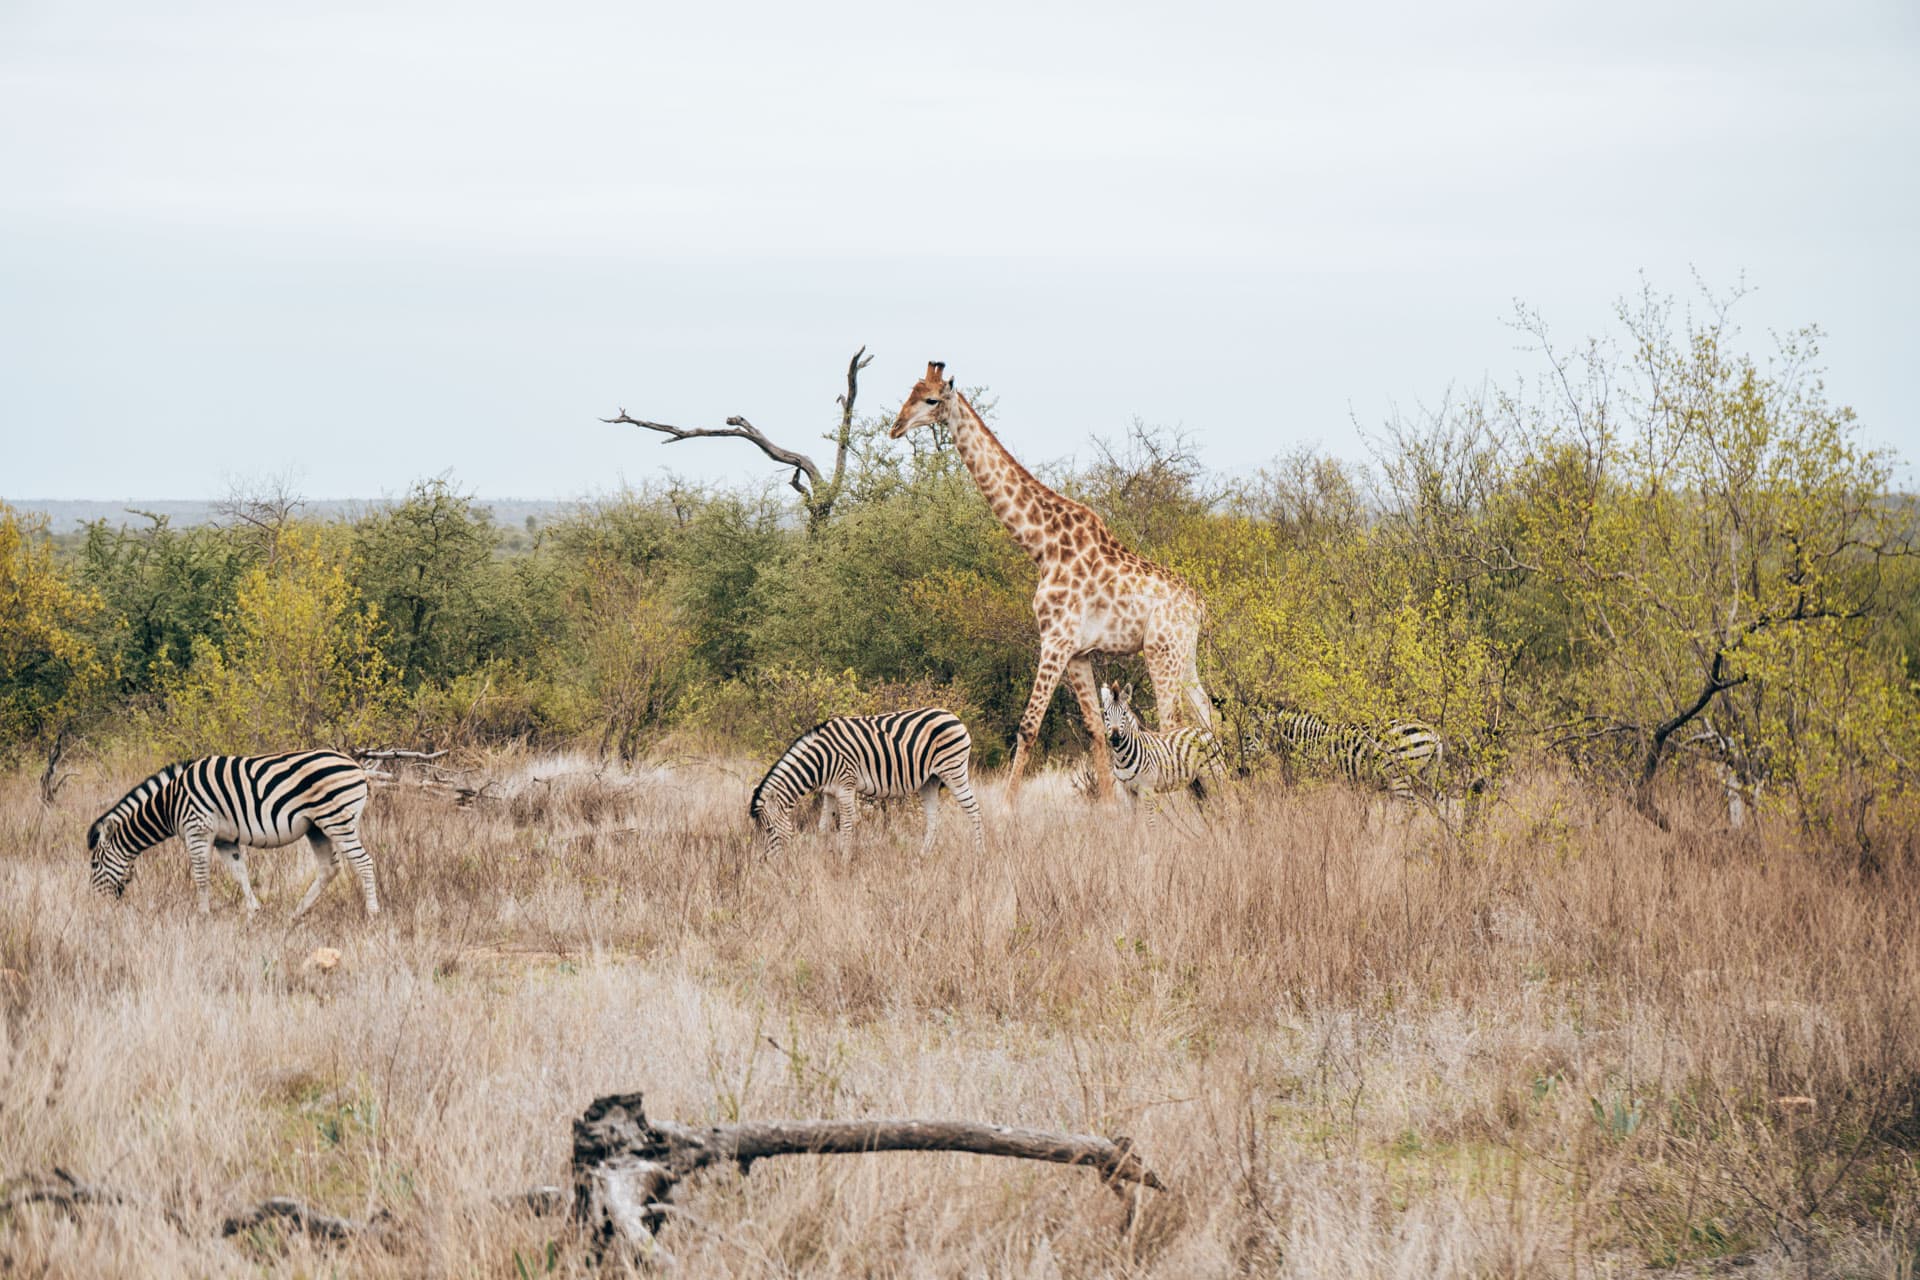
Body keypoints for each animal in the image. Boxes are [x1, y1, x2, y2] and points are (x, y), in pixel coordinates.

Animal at [88, 752, 382, 921]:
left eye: (94, 865)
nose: (96, 906)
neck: (170, 804)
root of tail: (356, 766)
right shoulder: (224, 839)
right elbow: (239, 873)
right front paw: (254, 912)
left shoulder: (198, 830)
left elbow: (201, 877)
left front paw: (203, 916)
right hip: (317, 827)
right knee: (329, 868)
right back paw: (296, 914)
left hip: (336, 820)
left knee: (364, 863)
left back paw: (372, 914)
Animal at [748, 706, 983, 855]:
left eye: (769, 831)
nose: (765, 862)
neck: (821, 760)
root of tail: (953, 716)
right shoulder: (829, 791)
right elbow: (823, 826)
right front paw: (822, 857)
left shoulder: (846, 785)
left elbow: (846, 826)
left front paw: (843, 860)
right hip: (930, 781)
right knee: (933, 818)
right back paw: (923, 855)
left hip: (953, 770)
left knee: (974, 810)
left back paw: (979, 854)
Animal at [890, 362, 1205, 802]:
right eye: (910, 392)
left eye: (931, 400)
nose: (896, 426)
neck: (1041, 545)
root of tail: (1198, 605)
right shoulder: (1078, 652)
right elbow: (1095, 729)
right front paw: (1110, 808)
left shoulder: (1055, 639)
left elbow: (1027, 726)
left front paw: (1006, 810)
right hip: (1185, 653)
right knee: (1207, 715)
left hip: (1161, 651)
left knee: (1173, 722)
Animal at [1098, 679, 1213, 821]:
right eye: (1105, 714)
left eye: (1124, 713)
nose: (1115, 738)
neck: (1122, 758)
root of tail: (1202, 729)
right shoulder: (1128, 792)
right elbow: (1133, 821)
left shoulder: (1147, 789)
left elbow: (1150, 821)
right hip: (1195, 782)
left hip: (1211, 773)